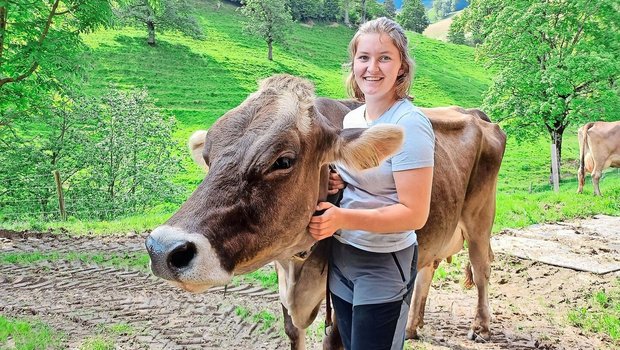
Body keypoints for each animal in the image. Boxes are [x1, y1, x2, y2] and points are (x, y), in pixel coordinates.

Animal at [148, 75, 506, 348]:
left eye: (283, 161)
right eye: (209, 157)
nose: (162, 249)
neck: (296, 265)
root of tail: (477, 113)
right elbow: (293, 332)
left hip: (480, 215)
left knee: (482, 266)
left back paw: (481, 327)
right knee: (427, 267)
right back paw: (411, 327)